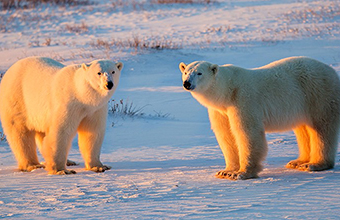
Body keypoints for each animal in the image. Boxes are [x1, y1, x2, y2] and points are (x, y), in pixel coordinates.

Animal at [179, 56, 340, 180]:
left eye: (199, 73)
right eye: (186, 72)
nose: (187, 83)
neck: (227, 90)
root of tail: (332, 71)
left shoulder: (243, 100)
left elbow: (247, 133)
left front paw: (242, 173)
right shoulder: (220, 111)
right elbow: (226, 135)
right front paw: (226, 171)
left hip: (318, 94)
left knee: (322, 128)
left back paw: (315, 164)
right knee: (303, 129)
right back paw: (298, 162)